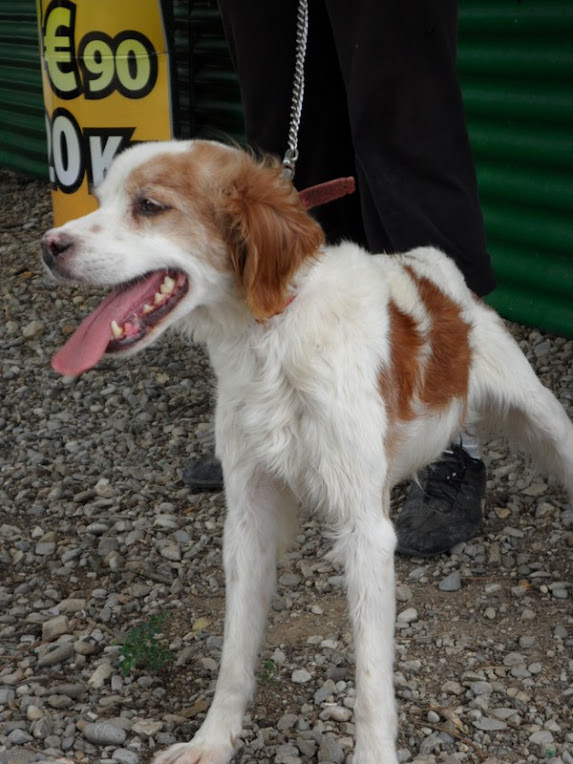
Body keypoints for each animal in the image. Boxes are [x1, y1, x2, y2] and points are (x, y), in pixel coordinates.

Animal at [41, 139, 572, 764]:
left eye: (149, 205)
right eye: (99, 198)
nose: (49, 245)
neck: (269, 335)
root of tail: (438, 278)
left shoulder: (367, 529)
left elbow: (371, 681)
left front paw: (373, 756)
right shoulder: (248, 516)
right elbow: (234, 654)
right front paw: (212, 740)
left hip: (544, 418)